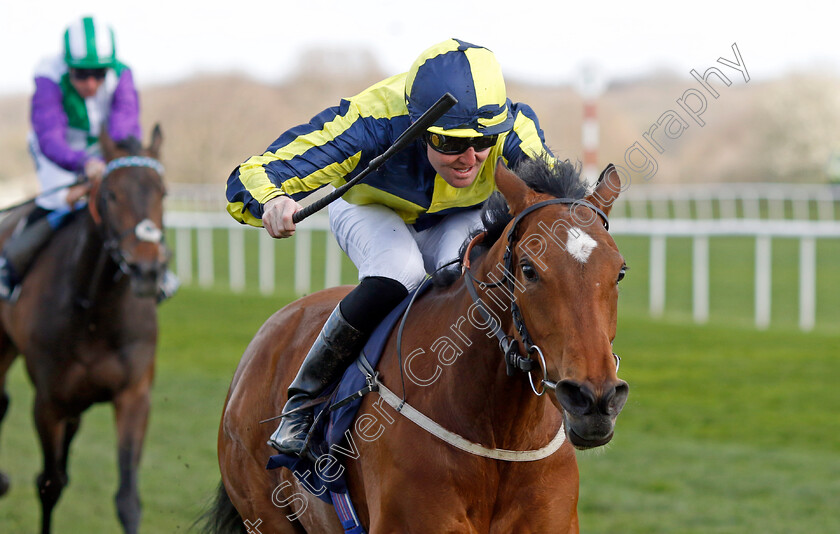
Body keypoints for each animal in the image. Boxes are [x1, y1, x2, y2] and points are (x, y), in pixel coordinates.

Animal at [0, 126, 169, 534]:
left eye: (163, 192)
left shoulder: (134, 395)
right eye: (110, 194)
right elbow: (49, 484)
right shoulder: (48, 403)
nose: (147, 271)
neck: (96, 312)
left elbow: (127, 499)